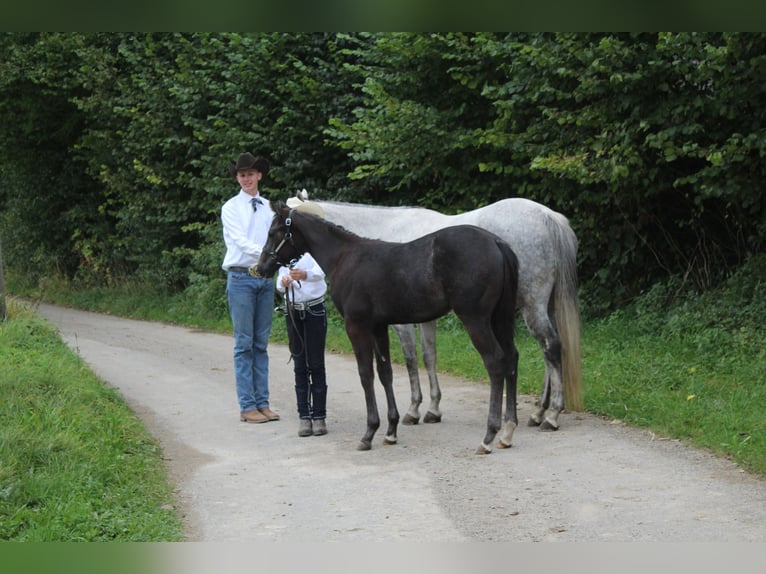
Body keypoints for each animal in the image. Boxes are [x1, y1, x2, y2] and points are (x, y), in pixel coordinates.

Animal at [255, 200, 520, 454]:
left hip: (475, 319)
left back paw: (488, 436)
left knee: (495, 361)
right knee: (511, 358)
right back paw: (507, 432)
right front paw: (391, 430)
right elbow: (385, 373)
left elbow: (366, 374)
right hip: (500, 318)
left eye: (273, 232)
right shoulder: (378, 327)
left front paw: (369, 433)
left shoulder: (357, 326)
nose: (261, 268)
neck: (345, 257)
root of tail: (496, 242)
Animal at [293, 191, 583, 431]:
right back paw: (539, 412)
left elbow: (410, 359)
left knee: (551, 346)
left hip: (531, 304)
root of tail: (549, 217)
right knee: (551, 351)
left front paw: (413, 409)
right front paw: (432, 409)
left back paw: (551, 415)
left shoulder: (400, 323)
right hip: (543, 306)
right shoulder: (424, 318)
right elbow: (429, 356)